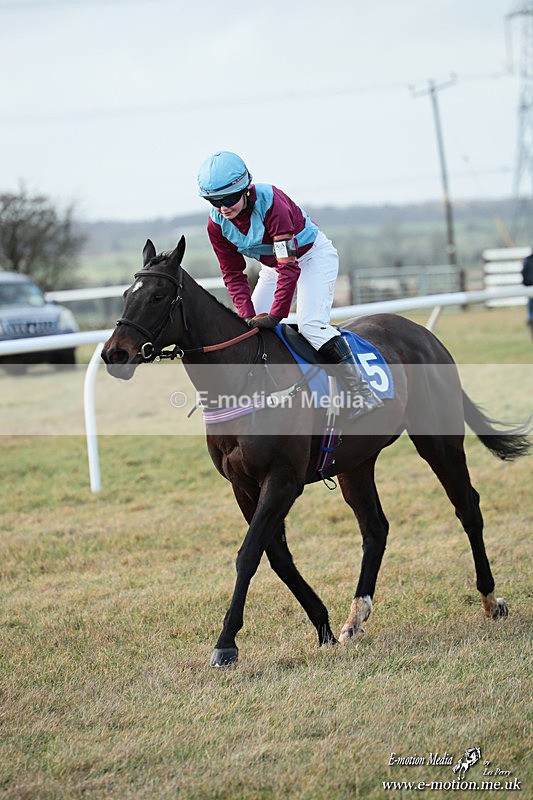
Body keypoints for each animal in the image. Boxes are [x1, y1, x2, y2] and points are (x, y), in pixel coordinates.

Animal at [101, 236, 530, 667]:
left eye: (158, 295)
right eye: (125, 295)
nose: (113, 354)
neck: (244, 378)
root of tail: (425, 335)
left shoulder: (282, 480)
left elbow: (249, 553)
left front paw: (226, 643)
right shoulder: (243, 485)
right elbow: (277, 556)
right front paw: (323, 626)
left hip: (438, 440)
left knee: (467, 507)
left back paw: (491, 600)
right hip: (355, 462)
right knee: (375, 528)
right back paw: (355, 618)